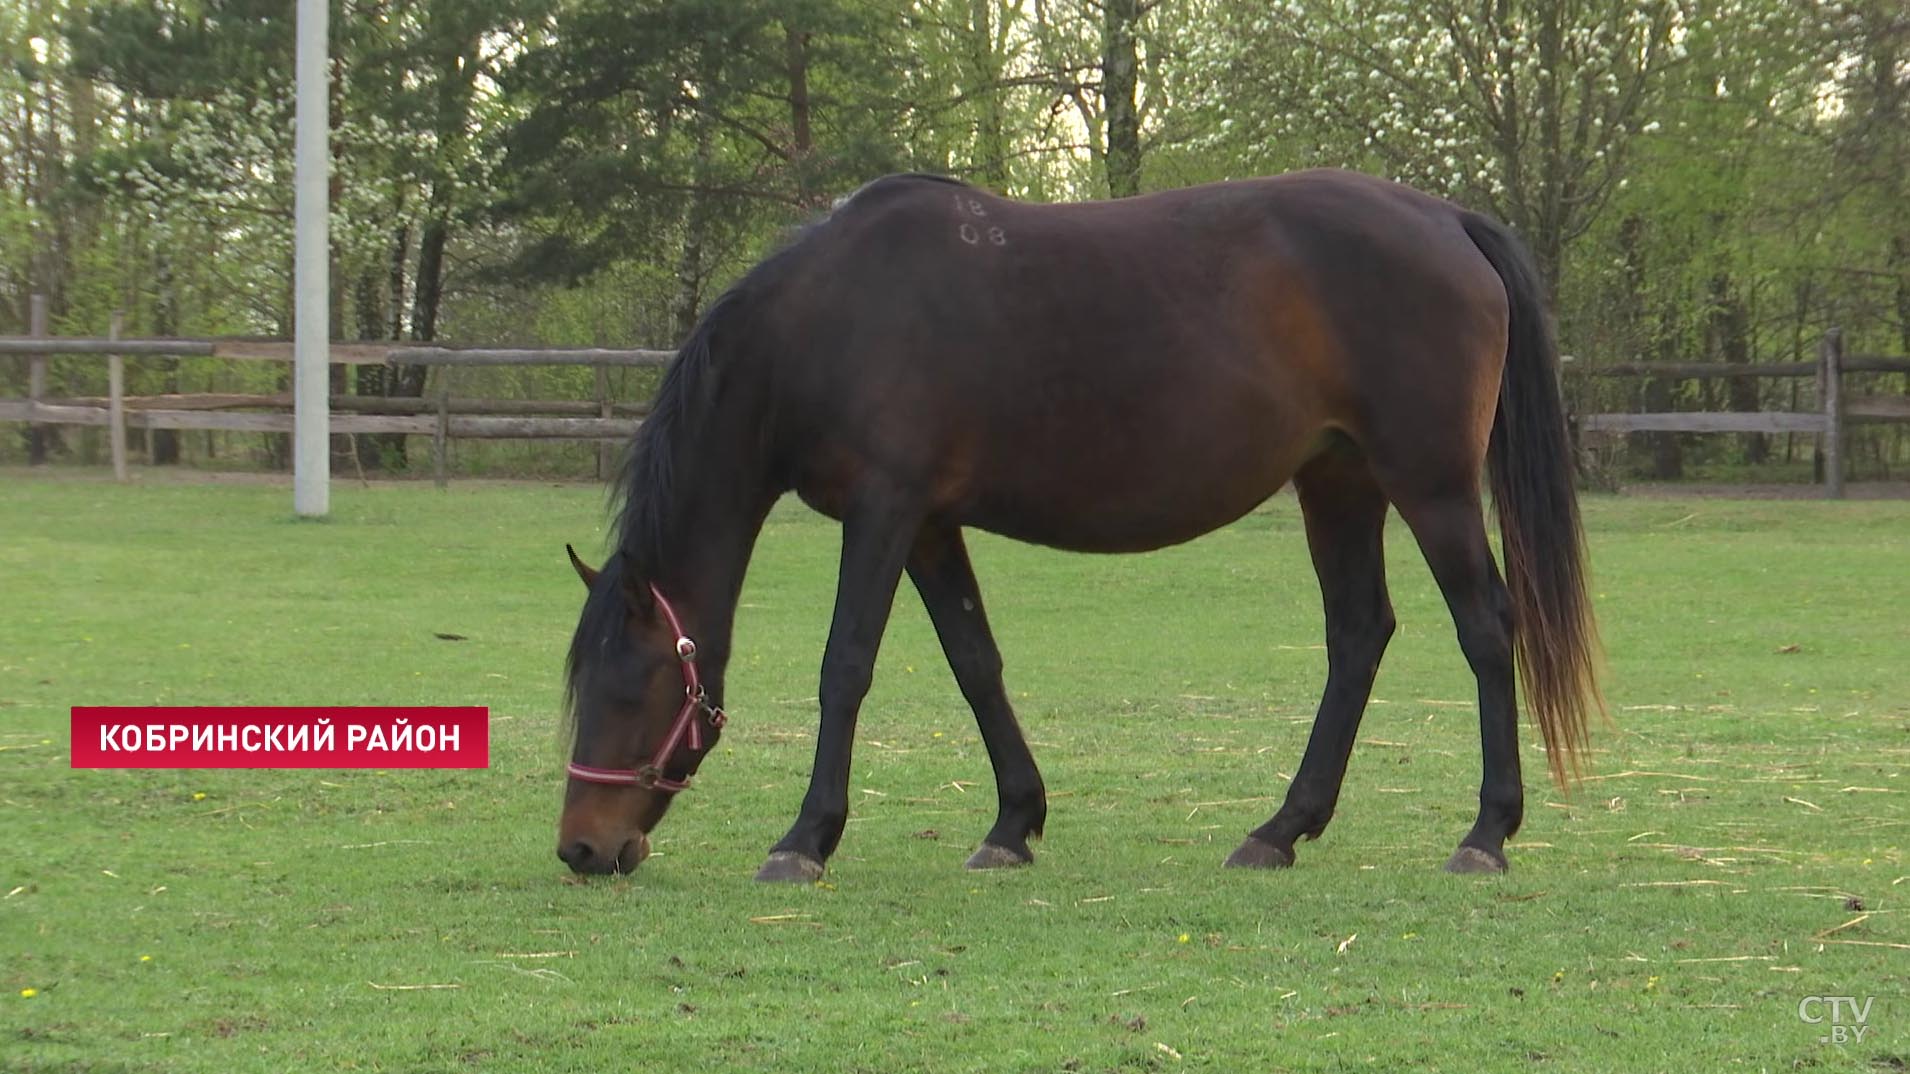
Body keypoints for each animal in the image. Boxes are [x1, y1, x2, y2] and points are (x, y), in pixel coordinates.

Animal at [553, 169, 1596, 879]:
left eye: (628, 689)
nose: (582, 849)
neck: (828, 322)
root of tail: (1447, 220)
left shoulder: (883, 512)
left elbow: (845, 666)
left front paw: (806, 838)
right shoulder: (927, 526)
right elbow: (975, 662)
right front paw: (1013, 824)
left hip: (1432, 487)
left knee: (1485, 627)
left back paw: (1486, 832)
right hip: (1338, 483)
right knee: (1357, 636)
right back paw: (1279, 830)